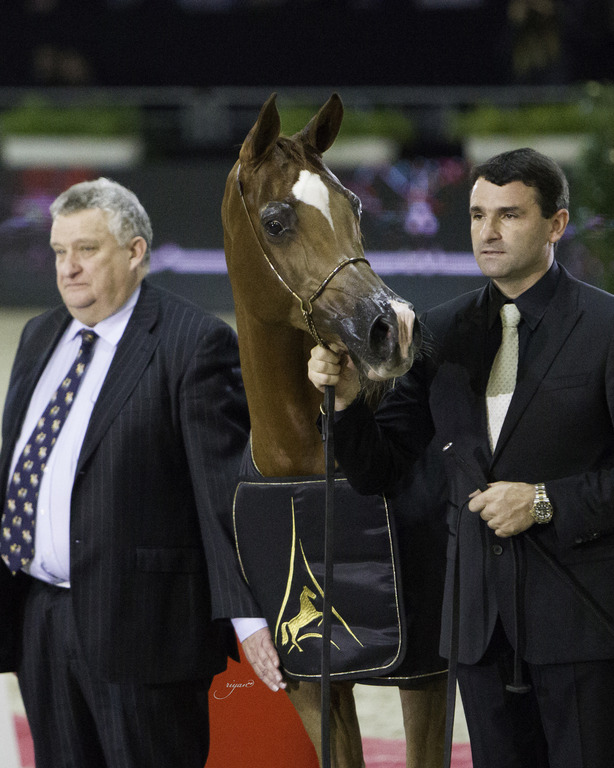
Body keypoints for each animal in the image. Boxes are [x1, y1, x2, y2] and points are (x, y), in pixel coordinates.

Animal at [221, 92, 446, 768]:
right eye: (275, 221)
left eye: (355, 205)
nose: (391, 327)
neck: (305, 466)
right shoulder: (314, 683)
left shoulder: (425, 675)